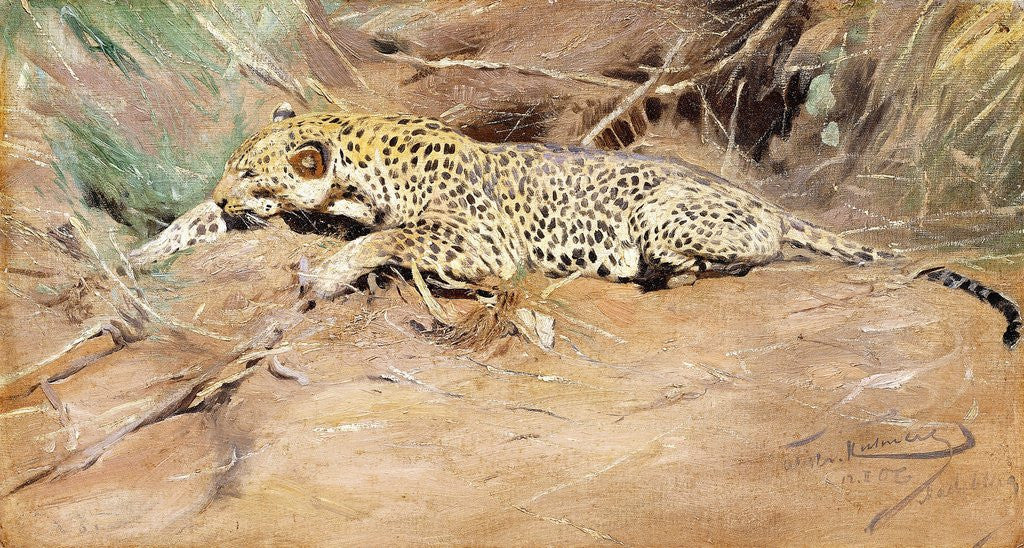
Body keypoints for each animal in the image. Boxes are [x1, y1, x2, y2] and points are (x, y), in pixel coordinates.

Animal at [130, 103, 1021, 349]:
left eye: (252, 173)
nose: (226, 192)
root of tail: (766, 199)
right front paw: (143, 253)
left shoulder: (485, 244)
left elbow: (390, 237)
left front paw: (334, 270)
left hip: (667, 216)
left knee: (744, 258)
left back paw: (661, 272)